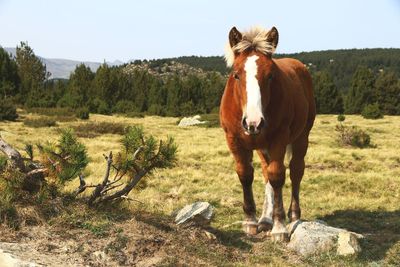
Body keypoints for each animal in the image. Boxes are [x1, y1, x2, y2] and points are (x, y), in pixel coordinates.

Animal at [219, 26, 316, 243]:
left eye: (271, 75)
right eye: (236, 75)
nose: (253, 122)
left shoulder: (279, 140)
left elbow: (277, 175)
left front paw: (279, 227)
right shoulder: (234, 141)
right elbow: (246, 174)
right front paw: (250, 221)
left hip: (301, 138)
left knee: (295, 170)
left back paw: (294, 214)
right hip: (263, 147)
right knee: (265, 172)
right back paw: (265, 219)